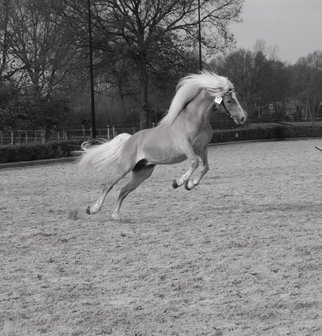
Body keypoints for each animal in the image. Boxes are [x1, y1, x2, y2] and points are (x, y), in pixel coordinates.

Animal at [78, 70, 247, 220]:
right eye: (229, 101)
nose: (243, 118)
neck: (194, 120)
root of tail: (130, 139)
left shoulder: (202, 149)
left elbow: (205, 167)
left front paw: (190, 185)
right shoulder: (186, 148)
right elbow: (195, 163)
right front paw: (178, 182)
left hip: (143, 172)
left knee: (123, 190)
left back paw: (115, 215)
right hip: (124, 168)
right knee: (108, 185)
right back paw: (92, 209)